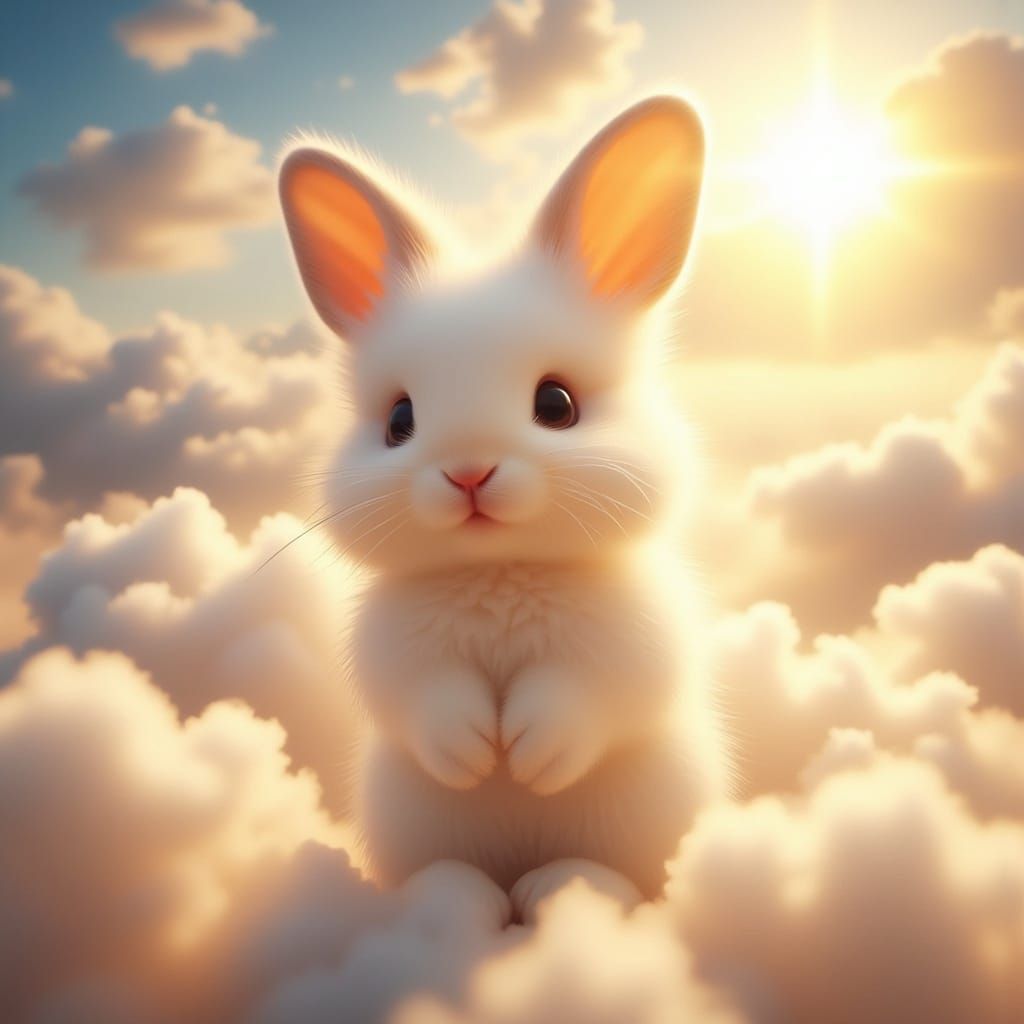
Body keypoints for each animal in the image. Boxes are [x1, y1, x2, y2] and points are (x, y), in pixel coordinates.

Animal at [278, 95, 731, 910]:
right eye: (399, 420)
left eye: (557, 404)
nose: (468, 473)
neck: (499, 571)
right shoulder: (392, 649)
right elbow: (421, 700)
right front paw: (475, 752)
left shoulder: (631, 638)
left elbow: (590, 695)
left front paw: (526, 755)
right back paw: (457, 900)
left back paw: (566, 889)